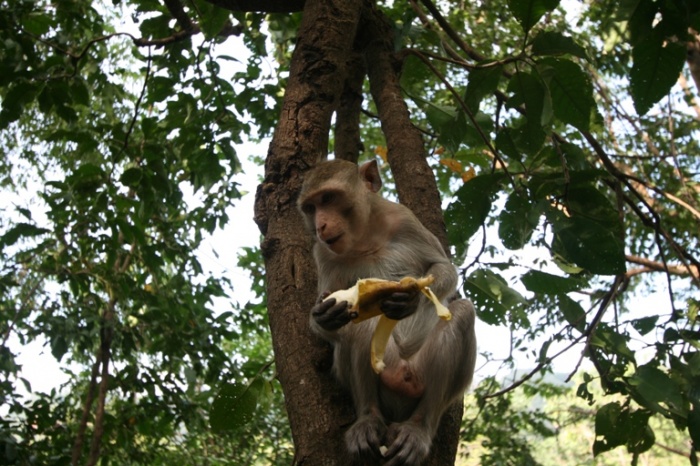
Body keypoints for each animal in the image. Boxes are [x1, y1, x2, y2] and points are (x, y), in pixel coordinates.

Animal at [296, 158, 476, 464]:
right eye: (310, 207)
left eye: (328, 198)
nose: (320, 225)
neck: (364, 237)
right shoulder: (323, 252)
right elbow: (331, 317)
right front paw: (323, 316)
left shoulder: (405, 218)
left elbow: (442, 268)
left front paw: (410, 298)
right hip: (384, 364)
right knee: (358, 324)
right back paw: (368, 419)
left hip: (420, 373)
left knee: (462, 313)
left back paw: (419, 428)